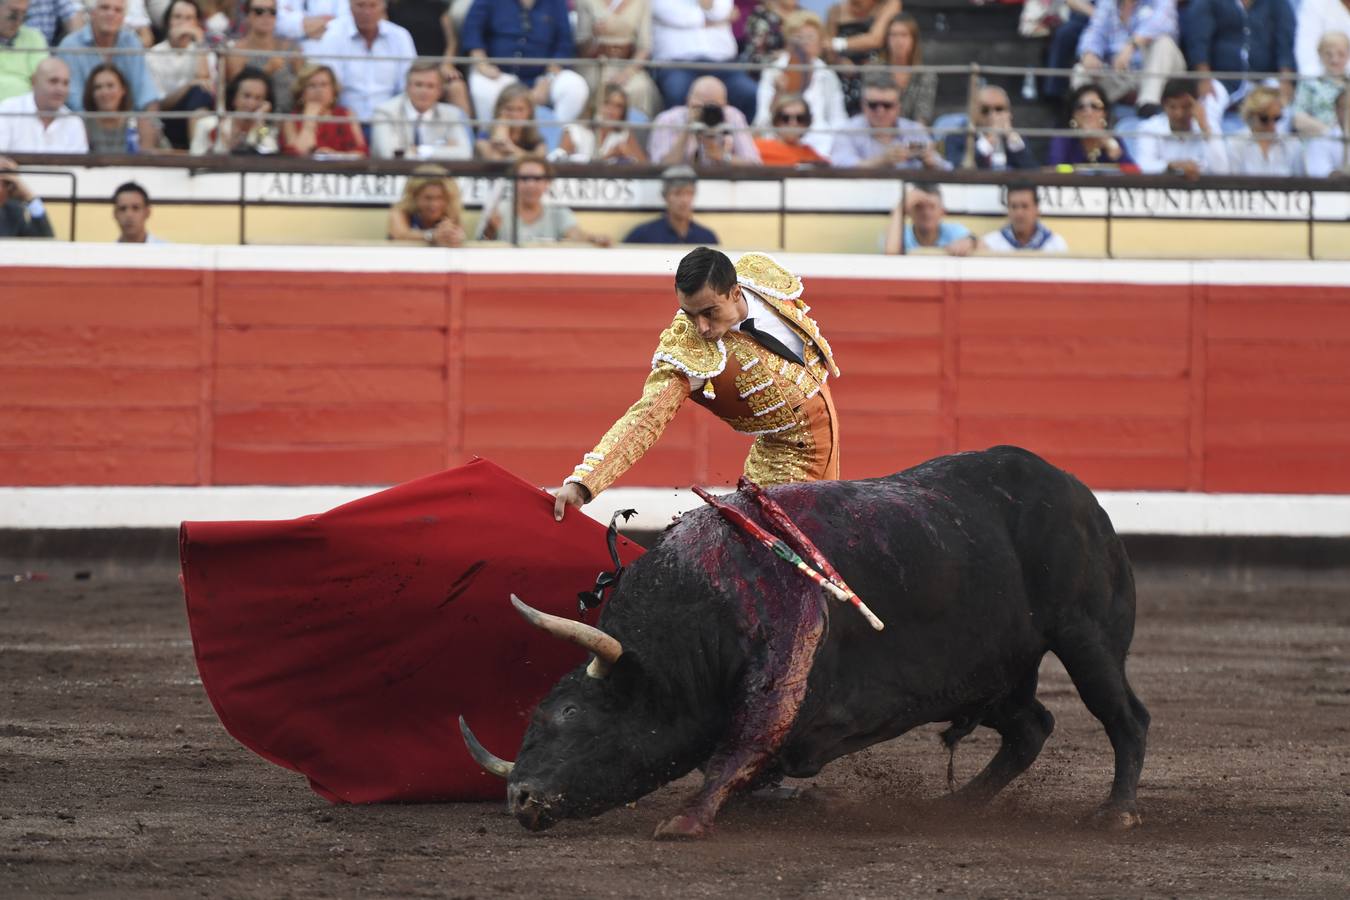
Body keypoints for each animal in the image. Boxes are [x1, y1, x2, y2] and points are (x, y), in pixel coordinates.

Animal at [464, 447, 1150, 841]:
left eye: (570, 713)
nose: (519, 796)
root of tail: (1077, 491)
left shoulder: (782, 664)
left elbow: (740, 746)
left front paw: (686, 820)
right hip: (985, 674)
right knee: (1031, 726)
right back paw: (958, 804)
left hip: (1085, 637)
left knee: (1125, 717)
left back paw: (1115, 811)